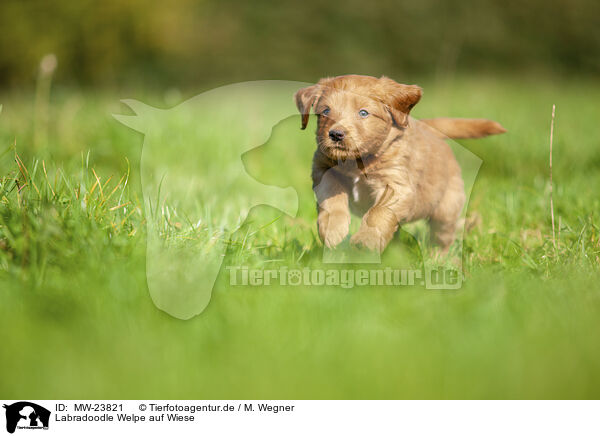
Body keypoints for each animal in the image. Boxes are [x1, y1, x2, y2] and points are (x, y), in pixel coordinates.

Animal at [296, 74, 506, 252]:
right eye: (325, 111)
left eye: (363, 113)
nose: (335, 134)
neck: (358, 162)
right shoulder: (322, 169)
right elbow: (331, 200)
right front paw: (333, 231)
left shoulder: (397, 184)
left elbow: (378, 212)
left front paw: (366, 240)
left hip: (447, 207)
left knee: (442, 237)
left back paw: (439, 259)